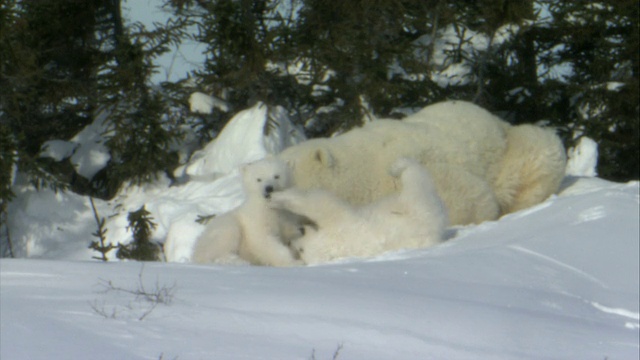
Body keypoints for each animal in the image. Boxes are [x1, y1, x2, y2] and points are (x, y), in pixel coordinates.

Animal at [268, 158, 448, 264]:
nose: (289, 244)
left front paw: (276, 199)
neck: (336, 241)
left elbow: (317, 202)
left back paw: (398, 167)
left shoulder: (339, 219)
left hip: (415, 203)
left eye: (301, 251)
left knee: (416, 178)